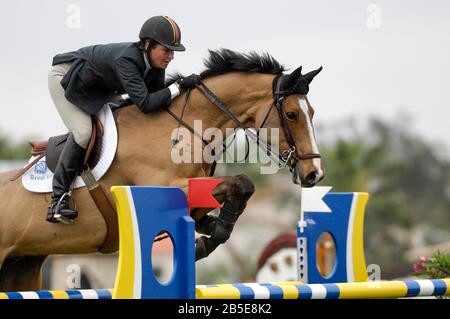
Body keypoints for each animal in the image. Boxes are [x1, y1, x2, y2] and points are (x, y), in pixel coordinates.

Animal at [0, 48, 324, 292]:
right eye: (291, 114)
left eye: (311, 112)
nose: (314, 173)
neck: (183, 128)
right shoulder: (165, 189)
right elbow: (240, 182)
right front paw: (204, 243)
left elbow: (238, 190)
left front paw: (211, 233)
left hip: (22, 264)